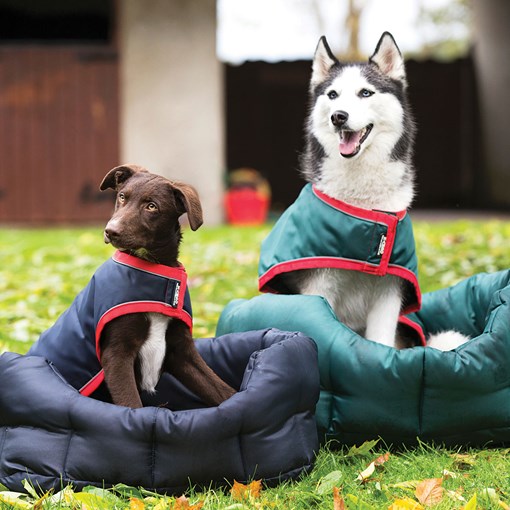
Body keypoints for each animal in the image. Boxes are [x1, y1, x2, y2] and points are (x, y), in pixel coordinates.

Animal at [270, 31, 470, 350]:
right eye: (332, 95)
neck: (362, 207)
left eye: (366, 93)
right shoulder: (319, 285)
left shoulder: (390, 292)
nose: (338, 116)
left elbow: (381, 342)